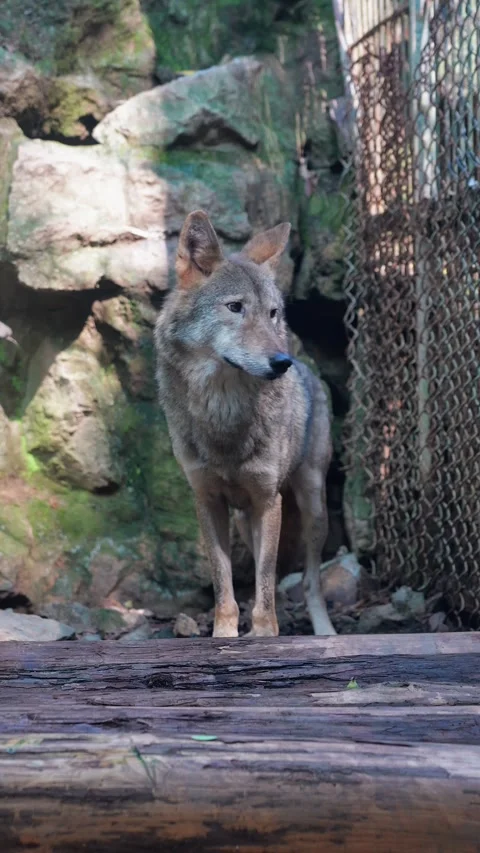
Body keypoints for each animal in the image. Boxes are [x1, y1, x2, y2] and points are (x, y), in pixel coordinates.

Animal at [155, 210, 336, 637]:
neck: (224, 414)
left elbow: (266, 581)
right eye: (235, 307)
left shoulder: (268, 500)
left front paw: (265, 636)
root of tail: (310, 371)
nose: (282, 362)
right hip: (245, 520)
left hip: (312, 505)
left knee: (310, 581)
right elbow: (224, 584)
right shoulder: (207, 500)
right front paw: (225, 635)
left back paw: (324, 632)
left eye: (272, 313)